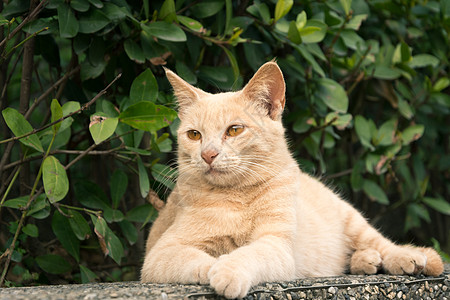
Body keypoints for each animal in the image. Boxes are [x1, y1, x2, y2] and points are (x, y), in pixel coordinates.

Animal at [141, 62, 442, 298]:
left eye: (234, 130)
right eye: (194, 135)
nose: (208, 154)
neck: (236, 197)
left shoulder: (276, 245)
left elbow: (248, 253)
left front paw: (228, 269)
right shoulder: (160, 253)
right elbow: (196, 258)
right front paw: (216, 265)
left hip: (353, 220)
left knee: (382, 244)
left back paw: (408, 258)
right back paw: (366, 261)